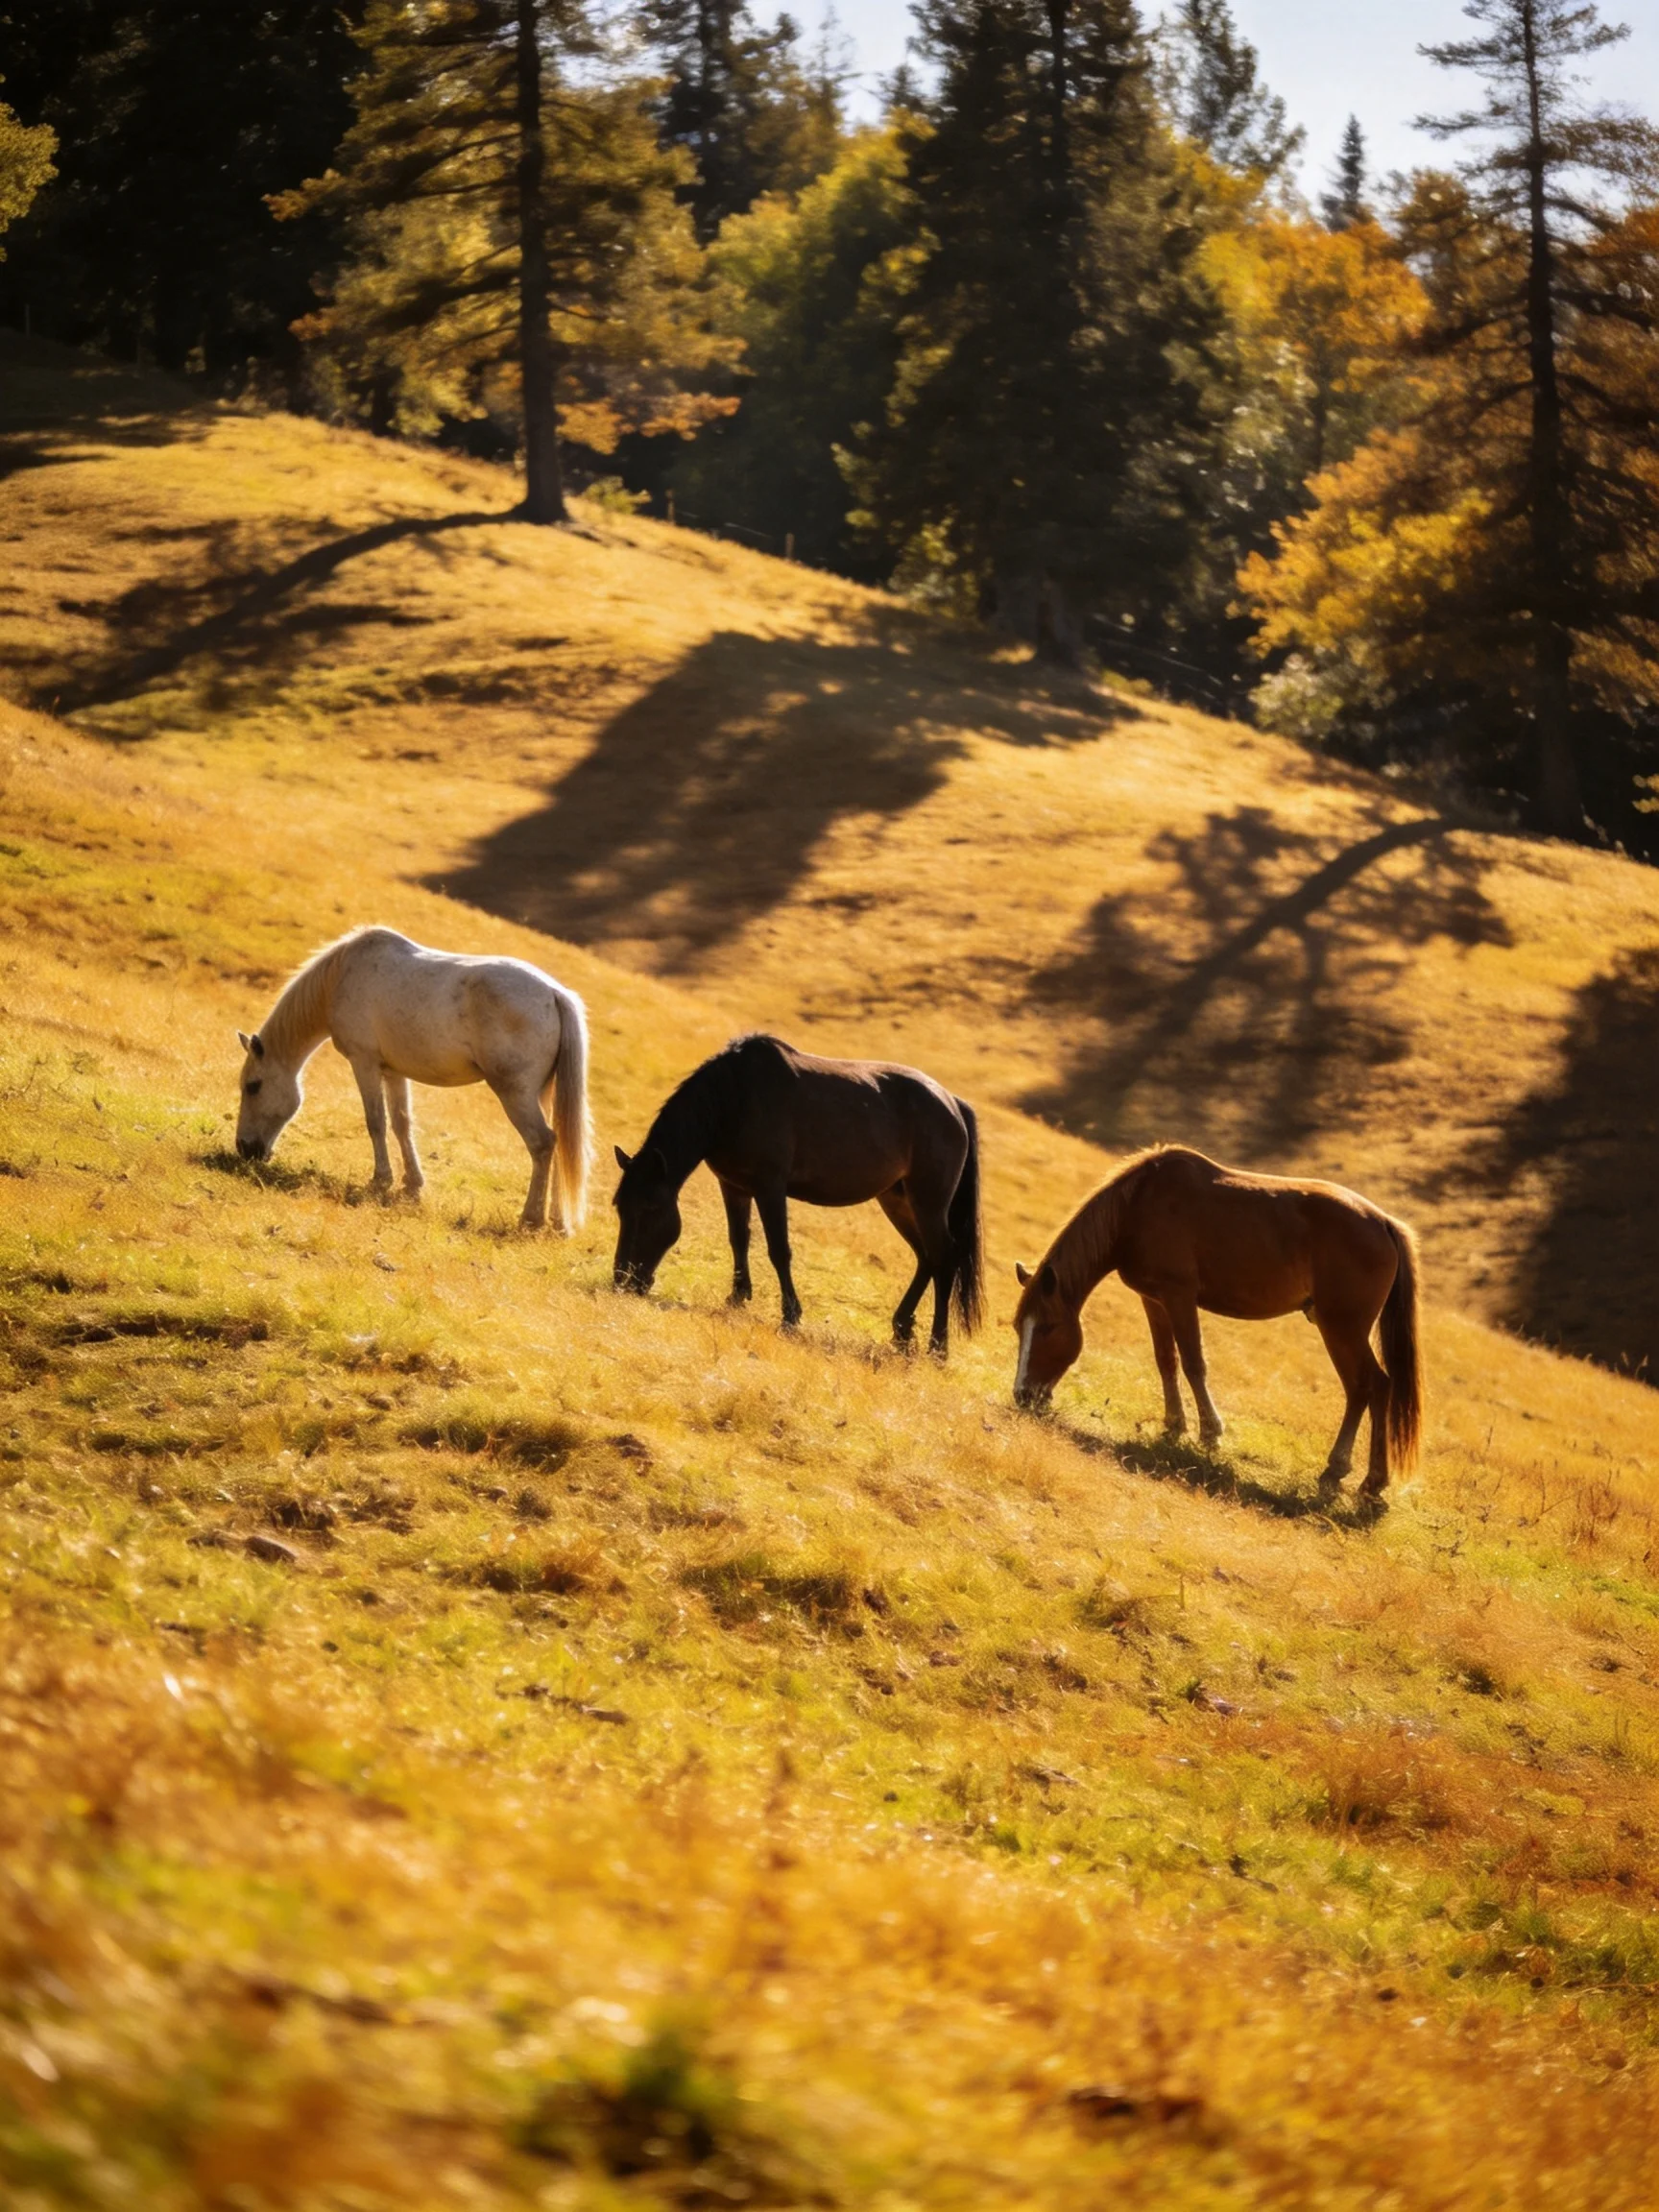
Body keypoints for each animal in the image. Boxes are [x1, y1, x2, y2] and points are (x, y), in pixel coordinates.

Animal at [234, 927, 591, 1230]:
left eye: (253, 1087)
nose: (245, 1149)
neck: (342, 975)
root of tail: (554, 994)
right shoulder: (393, 1072)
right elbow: (401, 1123)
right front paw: (412, 1185)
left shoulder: (364, 1063)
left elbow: (376, 1122)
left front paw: (380, 1181)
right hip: (544, 1094)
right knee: (560, 1142)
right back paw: (558, 1221)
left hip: (516, 1094)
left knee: (542, 1143)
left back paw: (531, 1218)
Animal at [612, 1034, 983, 1355]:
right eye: (620, 1208)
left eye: (651, 1207)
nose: (622, 1281)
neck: (736, 1098)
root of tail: (953, 1103)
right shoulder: (733, 1186)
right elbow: (738, 1238)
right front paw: (737, 1296)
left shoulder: (770, 1188)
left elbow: (779, 1250)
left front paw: (790, 1317)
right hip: (897, 1200)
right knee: (926, 1258)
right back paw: (902, 1329)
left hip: (928, 1203)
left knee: (944, 1259)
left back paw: (938, 1347)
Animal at [1012, 1145, 1422, 1504]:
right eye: (1020, 1328)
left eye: (1048, 1327)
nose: (1022, 1395)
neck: (1138, 1207)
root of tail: (1385, 1224)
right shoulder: (1154, 1299)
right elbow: (1166, 1360)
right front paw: (1174, 1426)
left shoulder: (1179, 1296)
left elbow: (1194, 1364)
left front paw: (1210, 1434)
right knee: (1363, 1390)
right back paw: (1354, 1479)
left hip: (1342, 1329)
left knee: (1372, 1386)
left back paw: (1358, 1478)